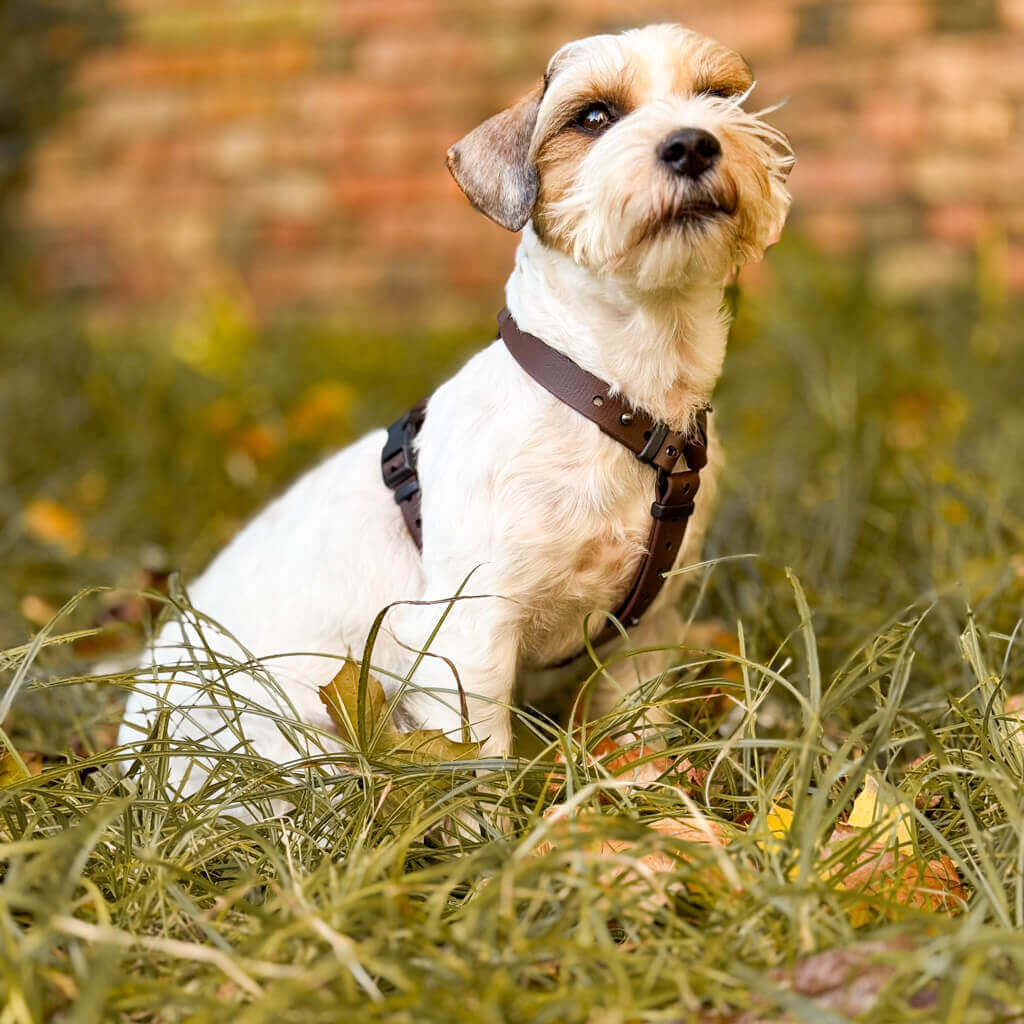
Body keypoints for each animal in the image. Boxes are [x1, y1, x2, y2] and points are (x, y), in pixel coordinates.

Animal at [117, 25, 790, 790]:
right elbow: (481, 761)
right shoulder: (468, 637)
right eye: (594, 116)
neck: (614, 397)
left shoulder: (646, 631)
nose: (693, 143)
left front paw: (644, 796)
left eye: (718, 95)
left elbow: (636, 728)